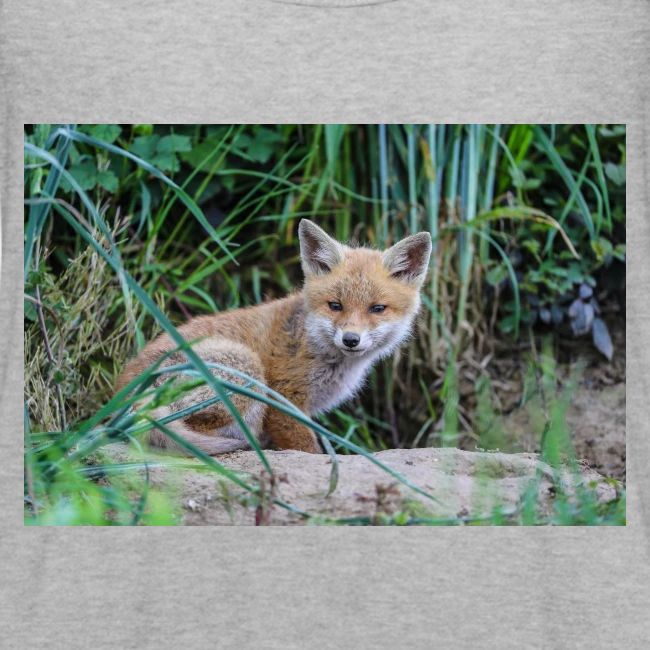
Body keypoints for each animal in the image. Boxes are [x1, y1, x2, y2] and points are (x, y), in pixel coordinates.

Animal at [117, 219, 432, 455]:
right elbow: (308, 449)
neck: (313, 344)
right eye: (335, 305)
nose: (351, 339)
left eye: (377, 309)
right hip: (246, 369)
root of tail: (124, 395)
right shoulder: (284, 400)